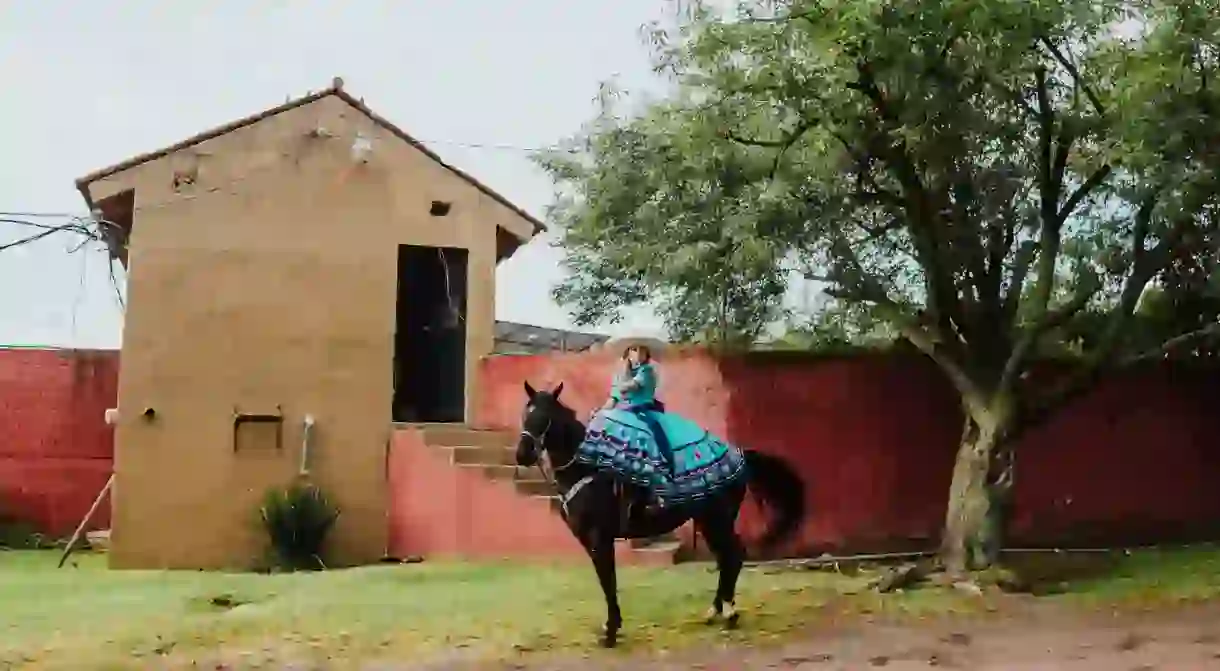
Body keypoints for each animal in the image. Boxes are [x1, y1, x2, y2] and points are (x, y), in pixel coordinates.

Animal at [517, 383, 810, 653]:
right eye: (525, 414)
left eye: (545, 417)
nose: (522, 454)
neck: (586, 467)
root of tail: (739, 455)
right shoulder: (590, 541)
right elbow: (606, 581)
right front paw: (612, 627)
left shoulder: (600, 538)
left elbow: (608, 582)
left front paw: (610, 633)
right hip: (708, 522)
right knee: (726, 558)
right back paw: (715, 612)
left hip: (718, 520)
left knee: (733, 555)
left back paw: (728, 613)